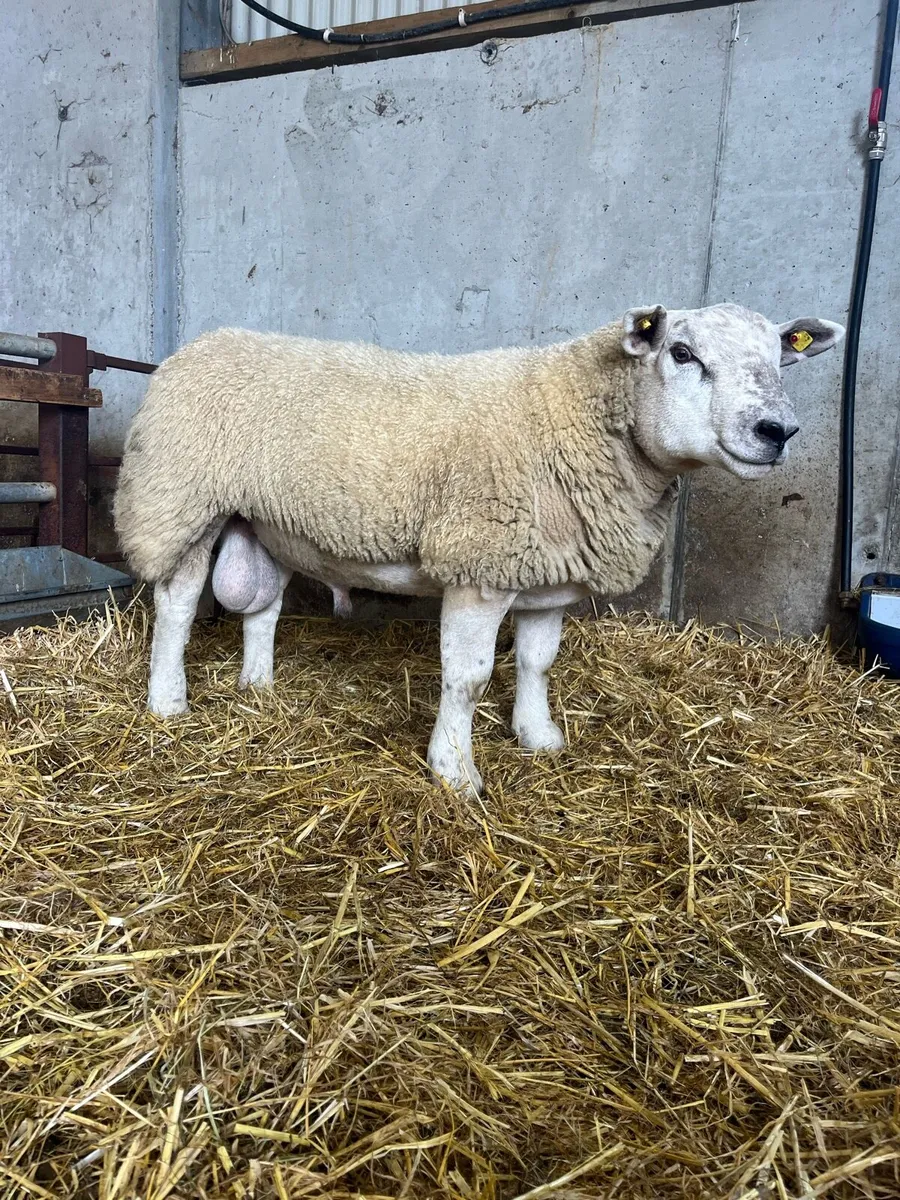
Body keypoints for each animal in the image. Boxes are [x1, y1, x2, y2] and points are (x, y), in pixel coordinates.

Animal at [114, 303, 844, 795]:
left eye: (781, 359)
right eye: (683, 353)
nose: (776, 430)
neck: (577, 414)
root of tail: (198, 344)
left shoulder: (547, 571)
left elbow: (537, 663)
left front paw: (539, 738)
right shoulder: (479, 564)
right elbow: (466, 680)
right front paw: (455, 772)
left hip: (265, 520)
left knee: (261, 609)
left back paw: (259, 685)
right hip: (178, 500)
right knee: (176, 607)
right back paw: (167, 702)